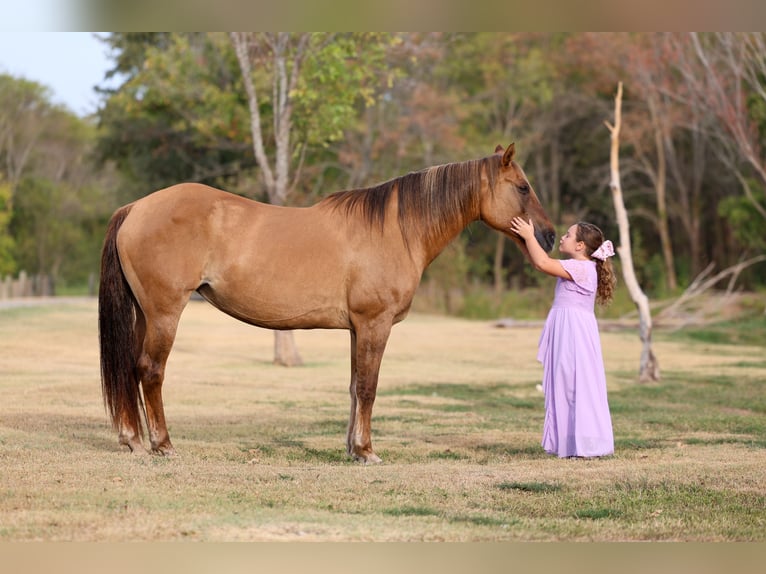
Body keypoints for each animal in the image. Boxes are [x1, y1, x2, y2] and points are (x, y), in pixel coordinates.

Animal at [98, 143, 556, 463]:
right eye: (523, 187)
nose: (549, 236)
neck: (396, 230)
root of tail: (135, 207)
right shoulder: (375, 323)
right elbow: (369, 387)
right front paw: (368, 452)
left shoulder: (357, 328)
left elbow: (354, 386)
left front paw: (353, 448)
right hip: (164, 314)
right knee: (150, 370)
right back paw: (162, 444)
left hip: (144, 315)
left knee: (130, 368)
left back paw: (133, 439)